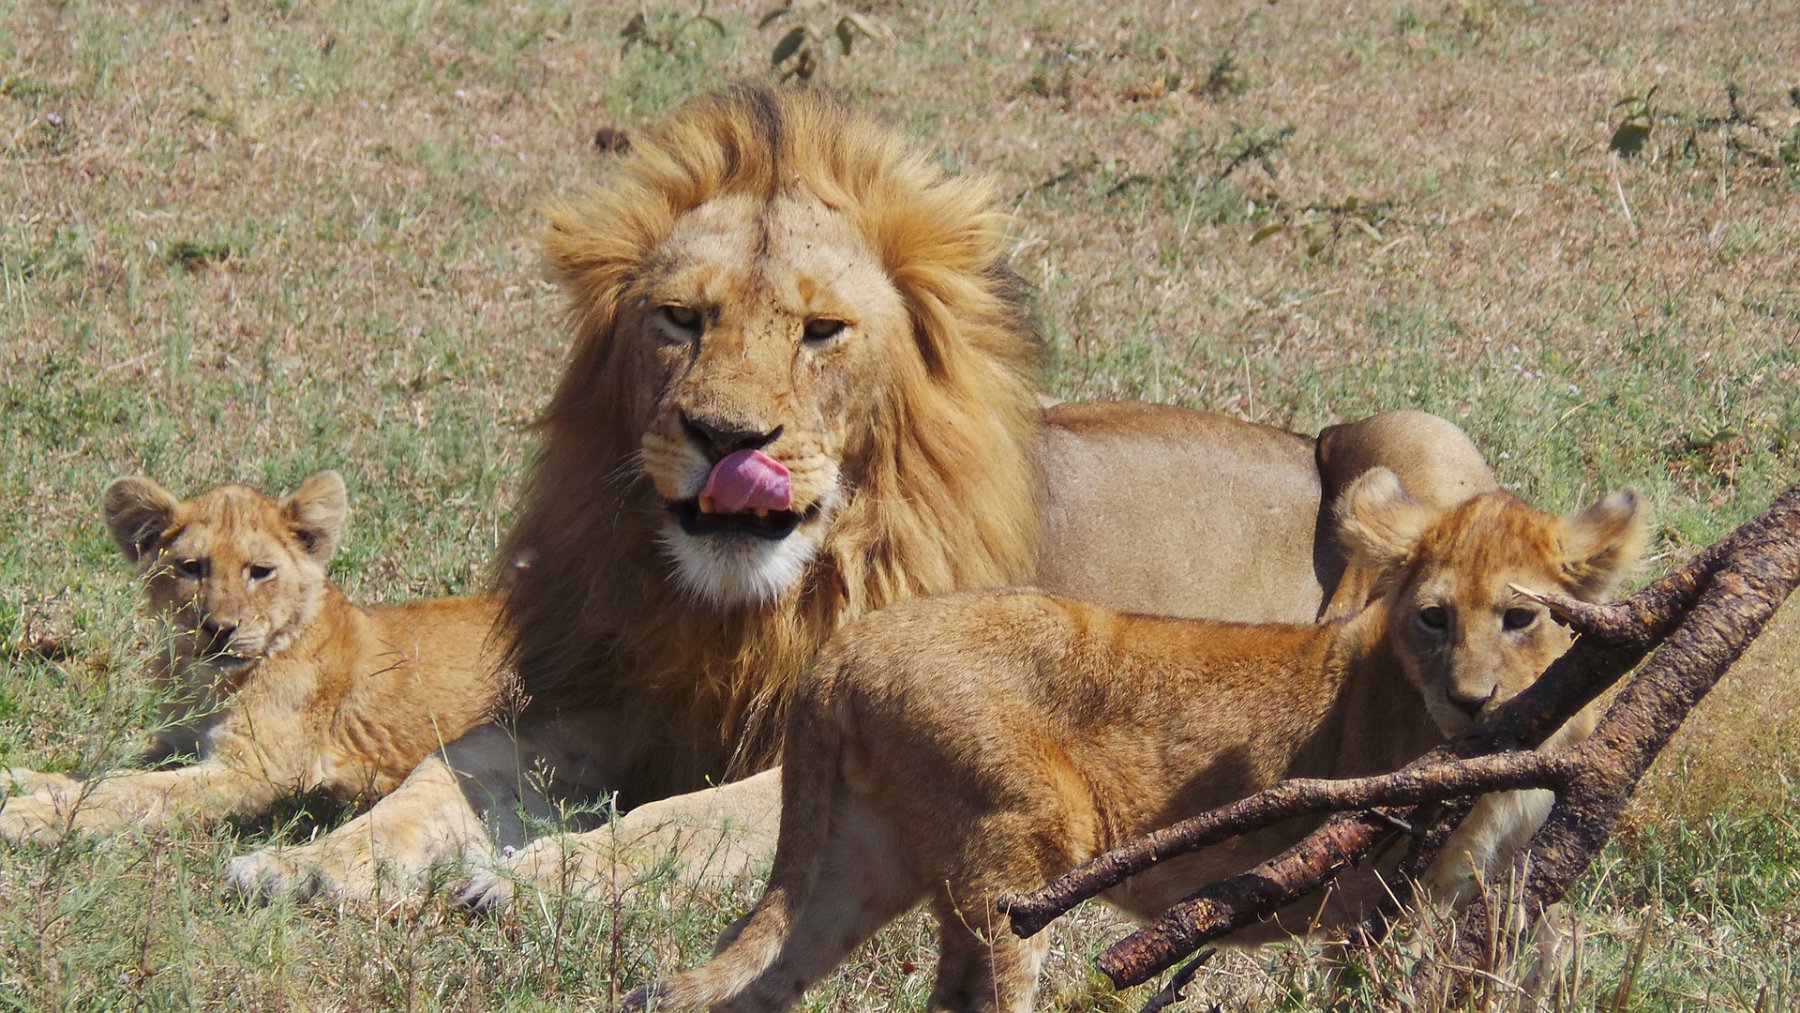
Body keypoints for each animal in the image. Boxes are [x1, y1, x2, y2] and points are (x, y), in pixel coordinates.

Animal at [0, 471, 507, 845]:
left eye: (260, 572)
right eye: (191, 567)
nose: (221, 628)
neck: (205, 683)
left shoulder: (253, 771)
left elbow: (129, 791)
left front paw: (24, 814)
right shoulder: (173, 744)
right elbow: (103, 770)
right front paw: (21, 779)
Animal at [225, 89, 1490, 903]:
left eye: (820, 330)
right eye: (680, 318)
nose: (728, 439)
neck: (751, 604)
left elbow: (680, 817)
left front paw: (540, 874)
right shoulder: (635, 703)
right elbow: (453, 765)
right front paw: (311, 861)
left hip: (1413, 440)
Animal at [630, 475, 1648, 1013]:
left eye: (1519, 616)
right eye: (1435, 617)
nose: (1473, 702)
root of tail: (846, 646)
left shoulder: (1496, 892)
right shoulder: (1370, 897)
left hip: (861, 861)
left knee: (766, 968)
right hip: (1026, 843)